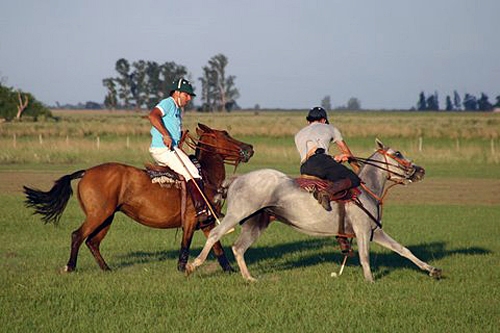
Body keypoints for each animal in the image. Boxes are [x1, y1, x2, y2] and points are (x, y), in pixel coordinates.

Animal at [23, 124, 254, 272]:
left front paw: (230, 270)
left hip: (106, 217)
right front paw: (181, 268)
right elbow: (186, 245)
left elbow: (217, 247)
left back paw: (106, 269)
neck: (204, 176)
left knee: (92, 242)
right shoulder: (190, 220)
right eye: (225, 135)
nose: (250, 148)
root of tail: (85, 172)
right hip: (98, 214)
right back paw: (70, 267)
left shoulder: (206, 222)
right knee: (77, 236)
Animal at [187, 139, 442, 282]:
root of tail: (237, 179)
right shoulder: (361, 231)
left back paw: (250, 279)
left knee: (239, 248)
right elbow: (365, 257)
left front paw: (432, 270)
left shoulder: (374, 232)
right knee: (215, 235)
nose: (420, 170)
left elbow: (403, 250)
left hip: (256, 222)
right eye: (397, 154)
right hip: (236, 215)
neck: (367, 188)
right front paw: (370, 281)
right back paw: (193, 265)